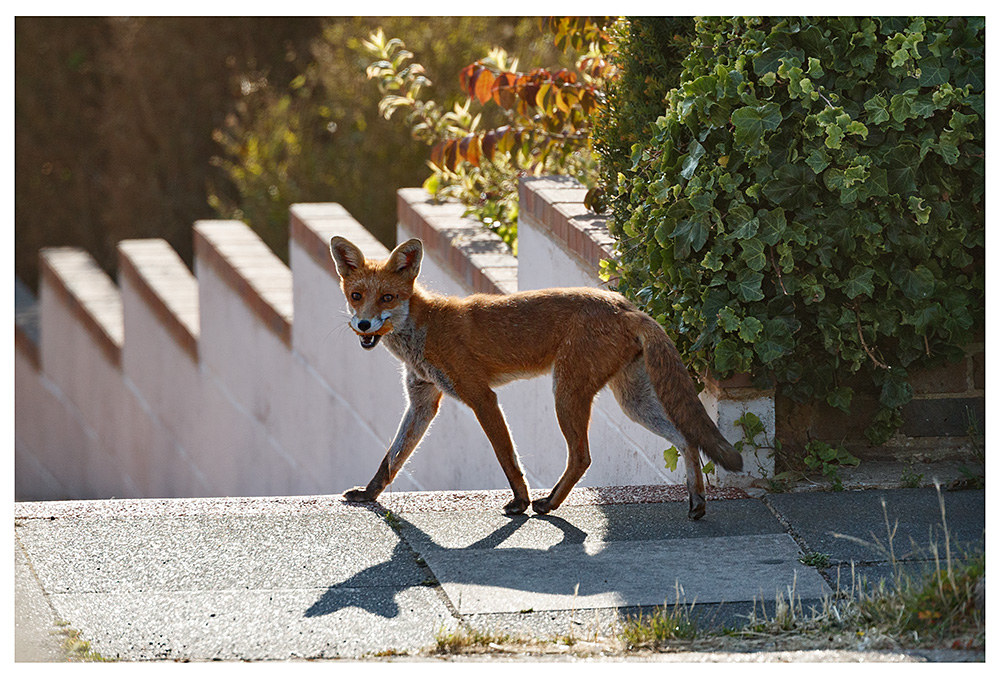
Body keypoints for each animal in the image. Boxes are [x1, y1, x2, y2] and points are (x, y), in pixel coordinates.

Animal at [329, 235, 743, 519]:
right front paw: (369, 495)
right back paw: (696, 501)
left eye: (386, 298)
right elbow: (392, 459)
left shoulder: (481, 396)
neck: (424, 330)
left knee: (582, 457)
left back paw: (547, 504)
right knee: (687, 438)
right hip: (632, 401)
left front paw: (520, 501)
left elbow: (507, 457)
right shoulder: (423, 401)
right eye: (356, 296)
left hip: (566, 393)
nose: (363, 325)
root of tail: (626, 305)